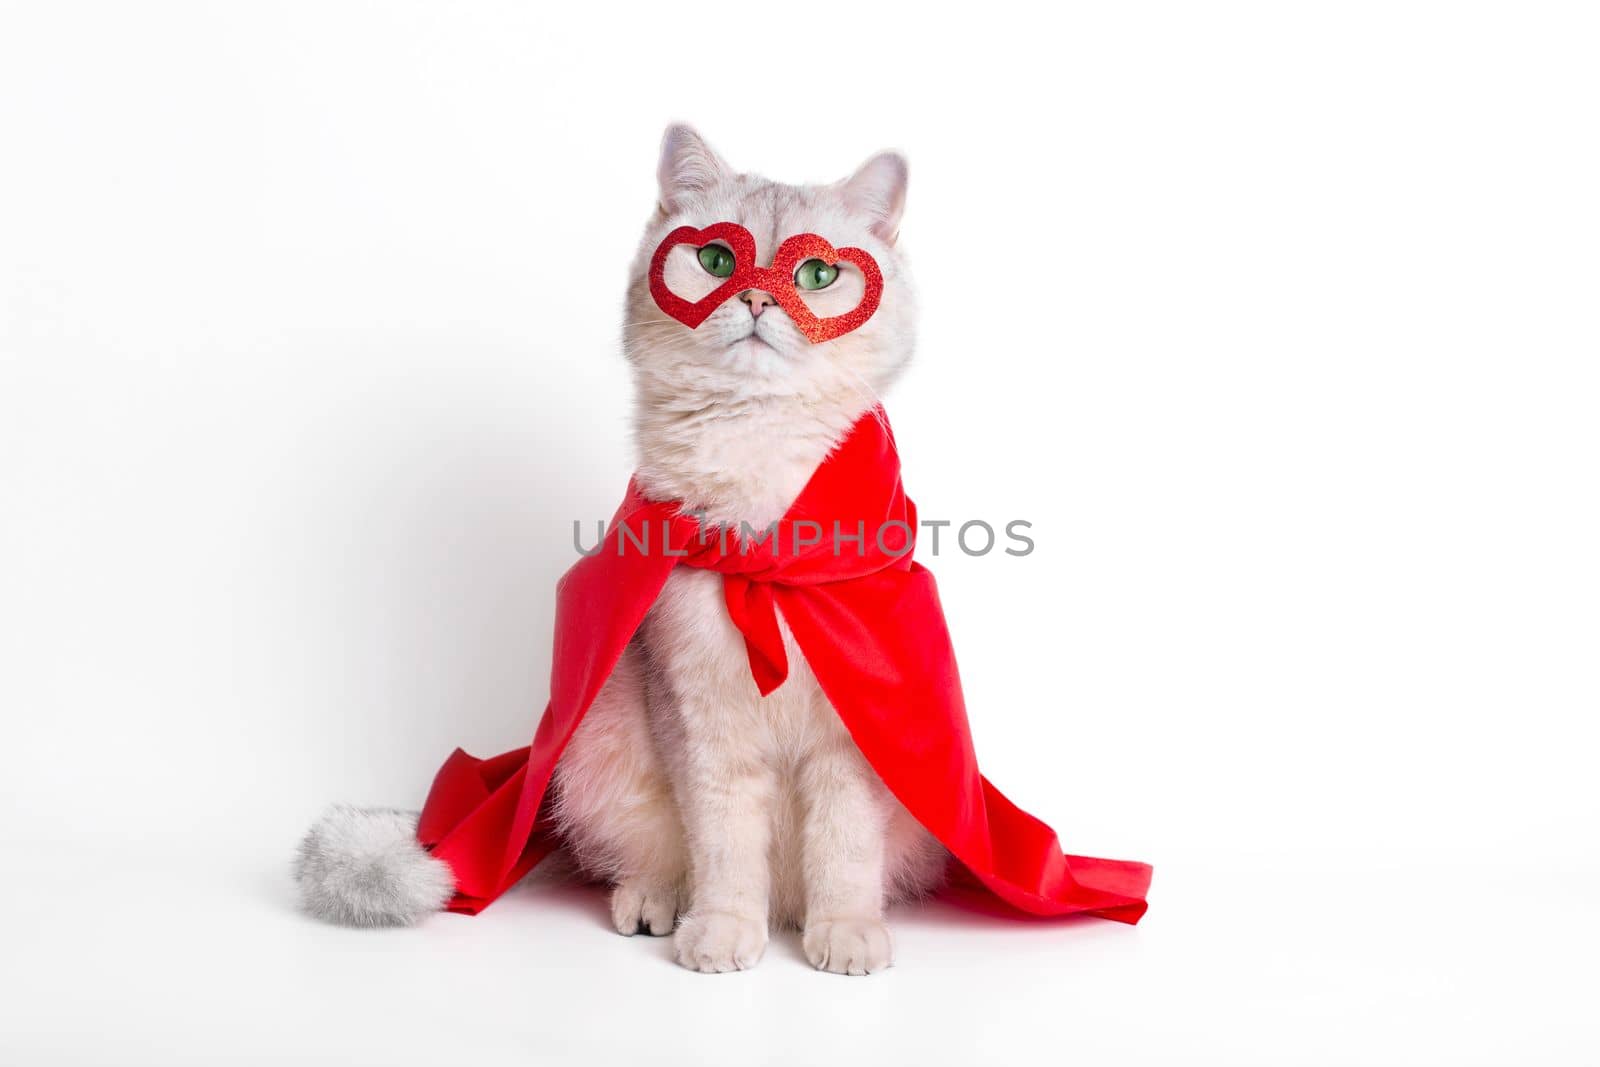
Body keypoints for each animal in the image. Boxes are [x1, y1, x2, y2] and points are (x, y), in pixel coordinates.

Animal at [299, 125, 940, 979]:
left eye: (818, 274)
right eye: (716, 261)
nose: (757, 299)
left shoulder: (857, 733)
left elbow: (845, 848)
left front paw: (846, 931)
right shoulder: (697, 722)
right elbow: (723, 848)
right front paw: (722, 933)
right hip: (603, 741)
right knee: (651, 855)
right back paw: (657, 903)